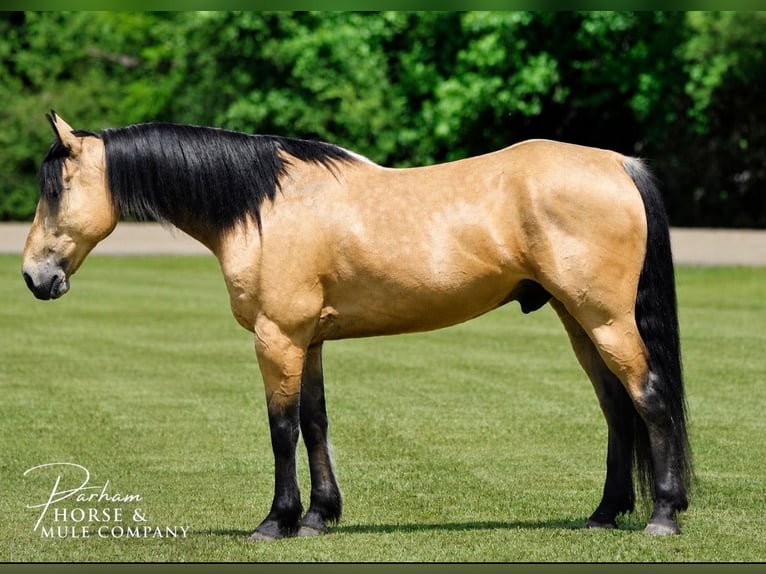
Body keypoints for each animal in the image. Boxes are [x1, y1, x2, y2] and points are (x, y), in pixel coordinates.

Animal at [22, 111, 692, 539]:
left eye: (55, 190)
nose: (34, 277)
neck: (263, 205)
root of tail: (620, 165)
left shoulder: (277, 337)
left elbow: (282, 428)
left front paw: (276, 521)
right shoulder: (309, 340)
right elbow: (316, 422)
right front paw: (319, 516)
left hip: (605, 319)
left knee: (650, 399)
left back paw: (662, 516)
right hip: (579, 321)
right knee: (617, 409)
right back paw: (604, 513)